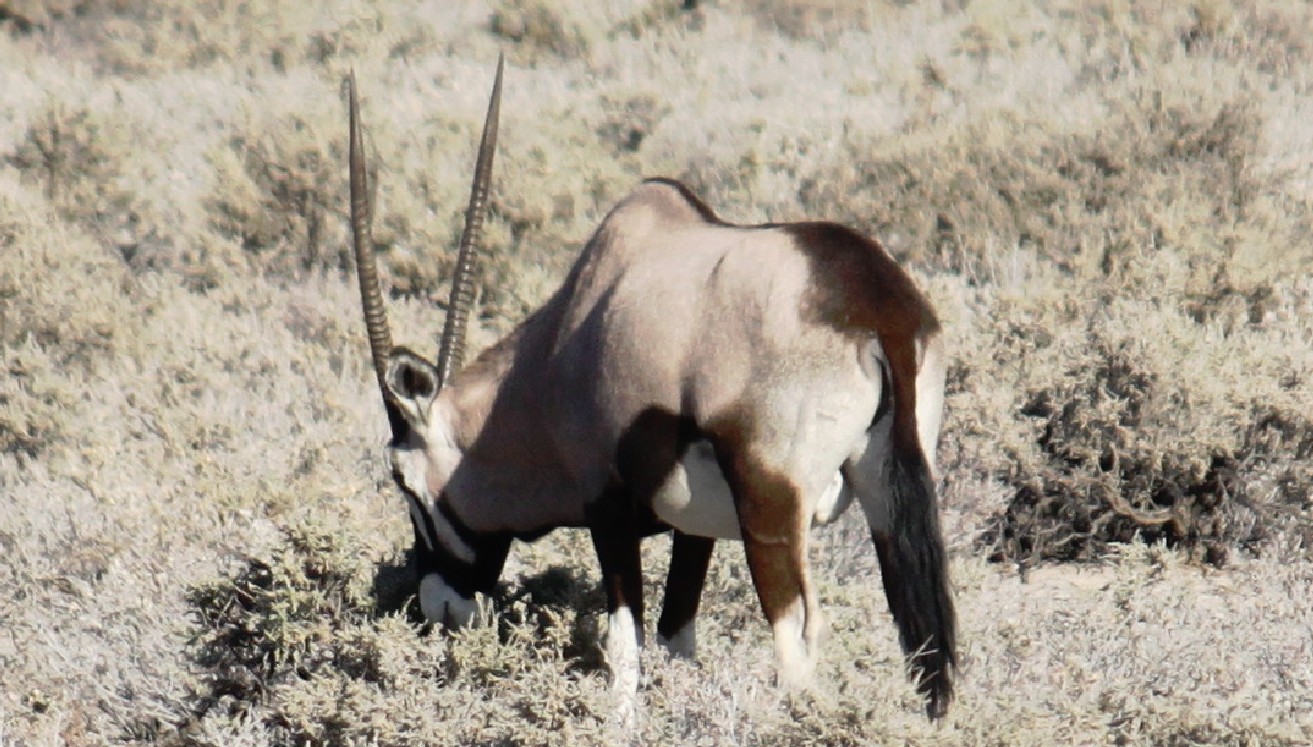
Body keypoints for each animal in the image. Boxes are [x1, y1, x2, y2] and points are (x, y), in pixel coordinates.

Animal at [346, 56, 955, 714]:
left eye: (401, 480)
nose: (438, 608)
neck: (554, 357)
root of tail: (876, 308)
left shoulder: (607, 506)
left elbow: (625, 648)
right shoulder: (696, 528)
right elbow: (676, 638)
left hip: (771, 506)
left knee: (798, 638)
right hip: (890, 494)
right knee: (925, 647)